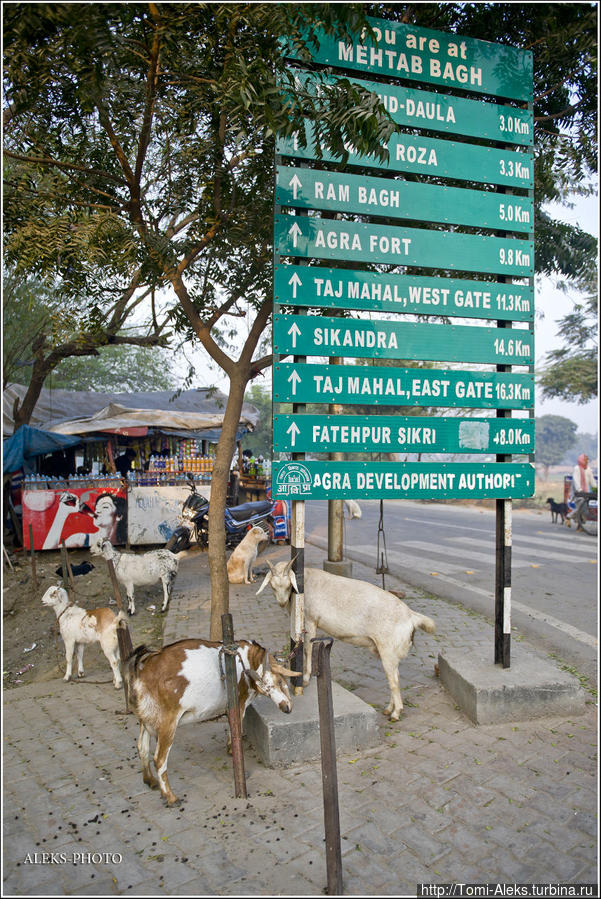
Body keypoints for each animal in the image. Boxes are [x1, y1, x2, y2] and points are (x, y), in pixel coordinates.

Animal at [120, 636, 294, 804]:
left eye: (280, 682)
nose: (286, 708)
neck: (247, 659)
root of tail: (143, 667)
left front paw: (230, 749)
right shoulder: (240, 702)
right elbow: (236, 727)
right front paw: (235, 755)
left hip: (146, 717)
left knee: (141, 747)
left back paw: (150, 781)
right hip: (167, 722)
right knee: (159, 759)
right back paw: (171, 797)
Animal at [255, 560, 434, 720]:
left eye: (288, 586)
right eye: (272, 586)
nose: (281, 602)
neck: (306, 582)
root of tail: (411, 617)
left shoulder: (310, 620)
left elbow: (307, 649)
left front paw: (305, 679)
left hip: (388, 650)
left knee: (394, 680)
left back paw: (396, 714)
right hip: (387, 653)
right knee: (394, 675)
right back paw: (389, 709)